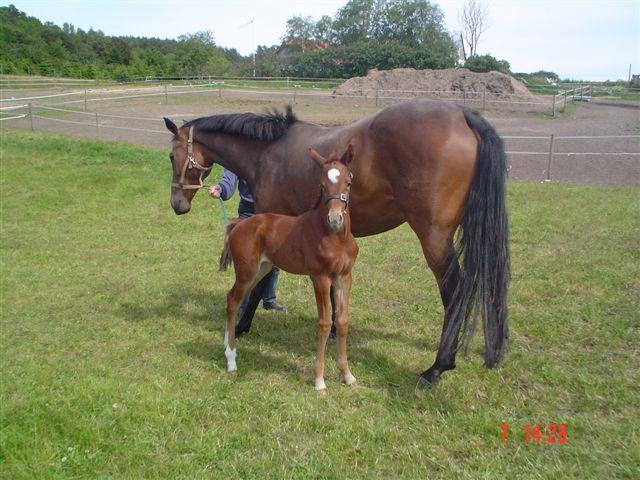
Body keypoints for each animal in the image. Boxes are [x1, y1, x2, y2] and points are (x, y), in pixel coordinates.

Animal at [219, 146, 360, 390]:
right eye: (322, 185)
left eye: (348, 182)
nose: (335, 219)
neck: (335, 237)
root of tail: (240, 223)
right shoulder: (320, 278)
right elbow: (324, 323)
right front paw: (319, 380)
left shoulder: (344, 277)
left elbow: (342, 321)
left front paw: (347, 375)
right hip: (247, 272)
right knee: (233, 301)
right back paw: (231, 361)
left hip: (261, 270)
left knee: (232, 298)